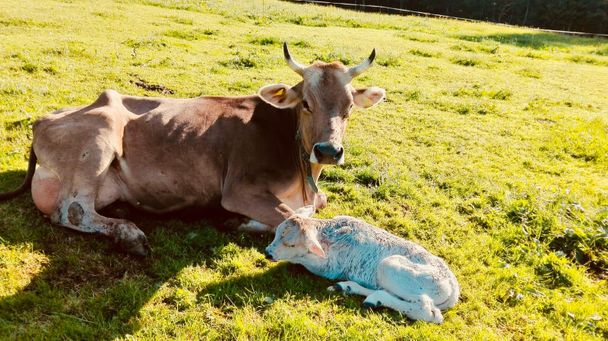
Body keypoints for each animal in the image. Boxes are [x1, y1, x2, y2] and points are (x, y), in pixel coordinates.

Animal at [0, 43, 384, 254]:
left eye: (349, 107)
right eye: (306, 103)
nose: (328, 151)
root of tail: (43, 119)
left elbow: (313, 207)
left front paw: (241, 223)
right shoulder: (240, 189)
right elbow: (302, 219)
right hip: (98, 138)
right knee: (72, 211)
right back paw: (129, 234)